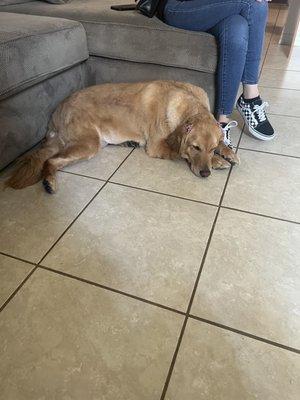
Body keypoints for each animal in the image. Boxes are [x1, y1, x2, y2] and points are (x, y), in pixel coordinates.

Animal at [5, 80, 239, 193]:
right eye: (195, 147)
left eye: (210, 148)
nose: (205, 174)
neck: (189, 104)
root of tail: (57, 111)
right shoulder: (157, 146)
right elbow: (178, 153)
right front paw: (218, 161)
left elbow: (223, 142)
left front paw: (227, 152)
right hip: (88, 143)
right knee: (52, 160)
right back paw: (49, 182)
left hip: (97, 142)